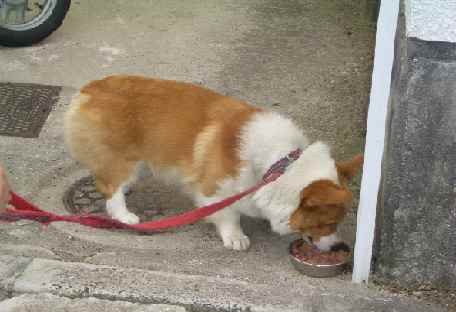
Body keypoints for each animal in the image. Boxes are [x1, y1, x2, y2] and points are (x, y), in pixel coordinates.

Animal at [65, 75, 364, 251]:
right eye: (328, 223)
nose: (340, 248)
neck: (278, 164)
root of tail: (88, 90)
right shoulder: (215, 190)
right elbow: (228, 214)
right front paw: (235, 237)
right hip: (120, 157)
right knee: (111, 188)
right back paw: (125, 214)